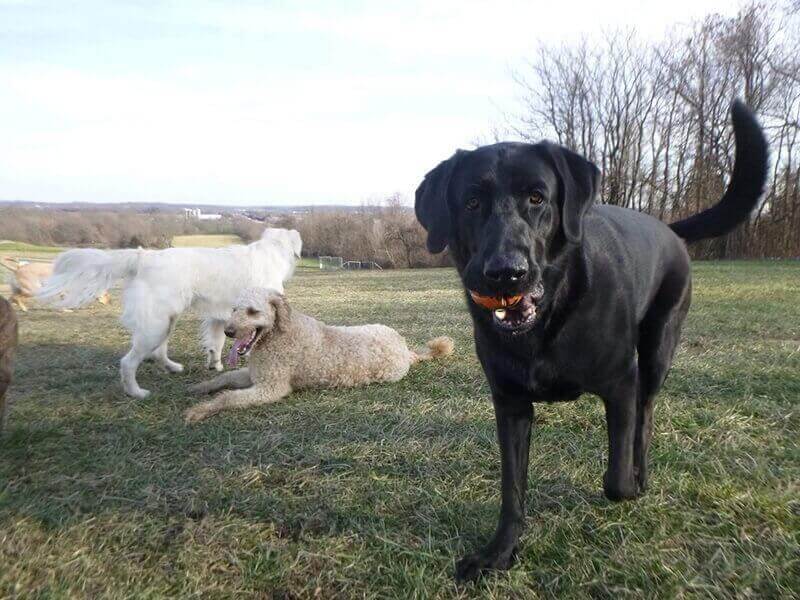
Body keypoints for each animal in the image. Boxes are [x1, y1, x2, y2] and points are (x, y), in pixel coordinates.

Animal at [38, 226, 300, 398]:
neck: (273, 251)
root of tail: (143, 256)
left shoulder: (219, 316)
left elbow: (216, 344)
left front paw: (215, 365)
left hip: (164, 322)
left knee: (158, 353)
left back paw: (172, 368)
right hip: (156, 326)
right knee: (128, 362)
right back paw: (136, 392)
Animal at [184, 286, 454, 422]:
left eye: (252, 311)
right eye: (234, 309)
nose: (228, 331)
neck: (279, 332)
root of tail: (406, 350)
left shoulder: (271, 387)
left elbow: (228, 398)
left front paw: (200, 410)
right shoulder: (254, 375)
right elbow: (224, 379)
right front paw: (200, 387)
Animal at [416, 99, 764, 580]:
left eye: (537, 198)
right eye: (471, 202)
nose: (506, 273)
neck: (548, 319)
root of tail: (669, 229)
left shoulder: (621, 381)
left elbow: (616, 479)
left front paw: (626, 485)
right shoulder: (510, 403)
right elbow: (512, 490)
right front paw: (499, 552)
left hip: (657, 350)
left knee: (645, 415)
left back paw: (642, 473)